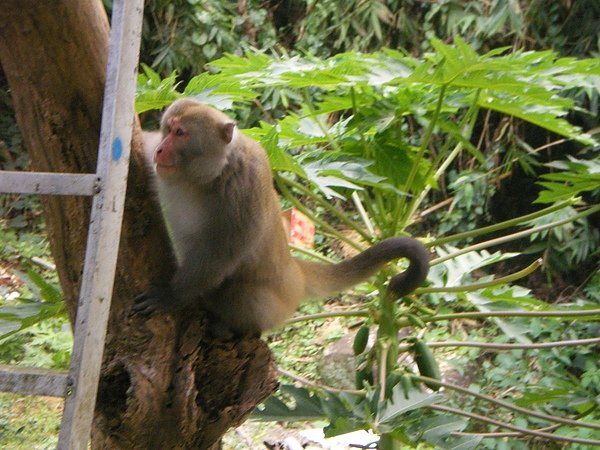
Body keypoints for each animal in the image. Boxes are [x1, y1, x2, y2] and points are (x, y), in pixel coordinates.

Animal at [134, 99, 428, 338]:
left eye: (180, 133)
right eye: (167, 129)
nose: (160, 150)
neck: (202, 177)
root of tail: (294, 268)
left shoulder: (244, 189)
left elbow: (221, 253)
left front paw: (171, 295)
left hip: (276, 303)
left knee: (241, 293)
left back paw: (230, 328)